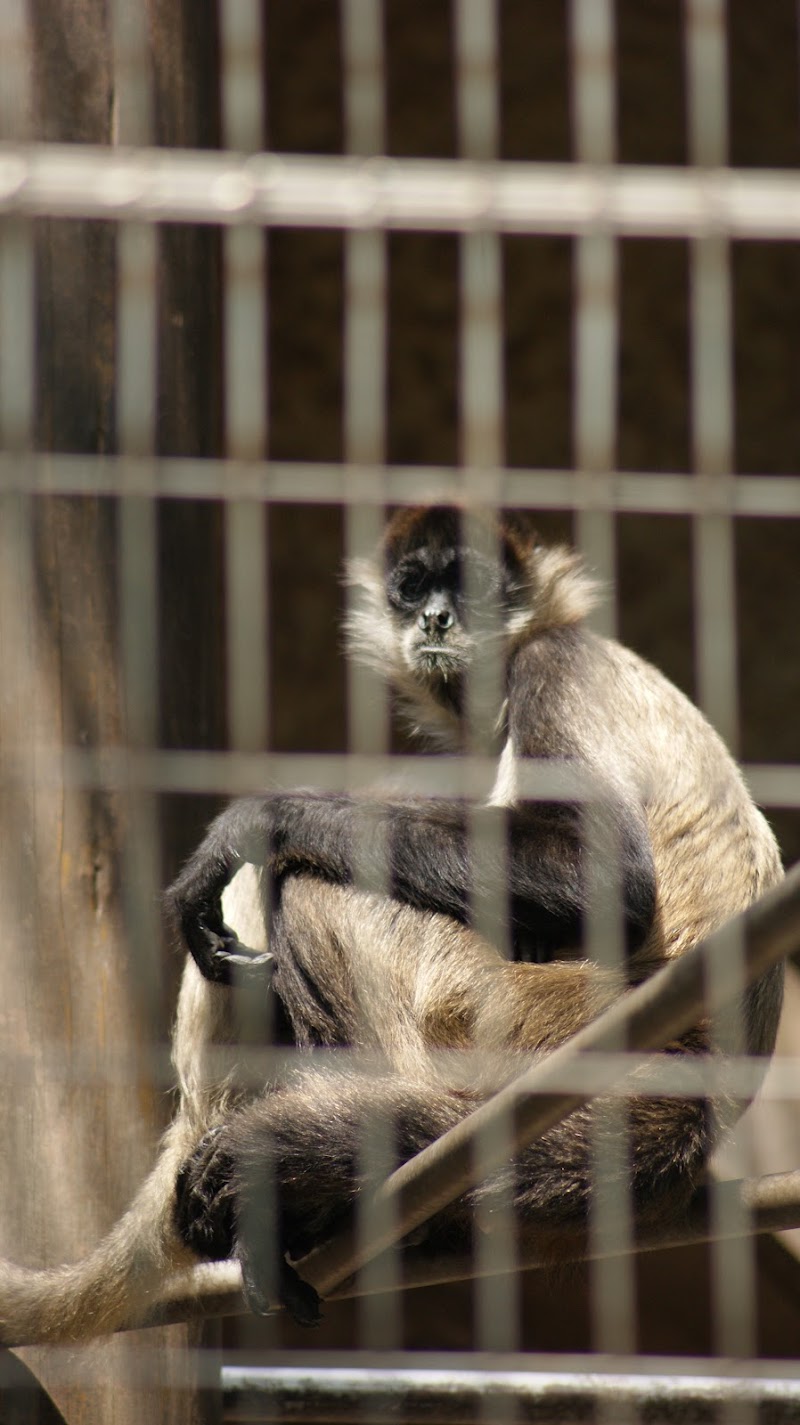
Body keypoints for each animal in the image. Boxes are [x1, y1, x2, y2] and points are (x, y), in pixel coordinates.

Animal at [0, 507, 781, 1339]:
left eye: (466, 584)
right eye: (412, 587)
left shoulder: (553, 663)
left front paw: (256, 823)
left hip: (505, 1009)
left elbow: (609, 875)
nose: (436, 617)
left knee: (307, 886)